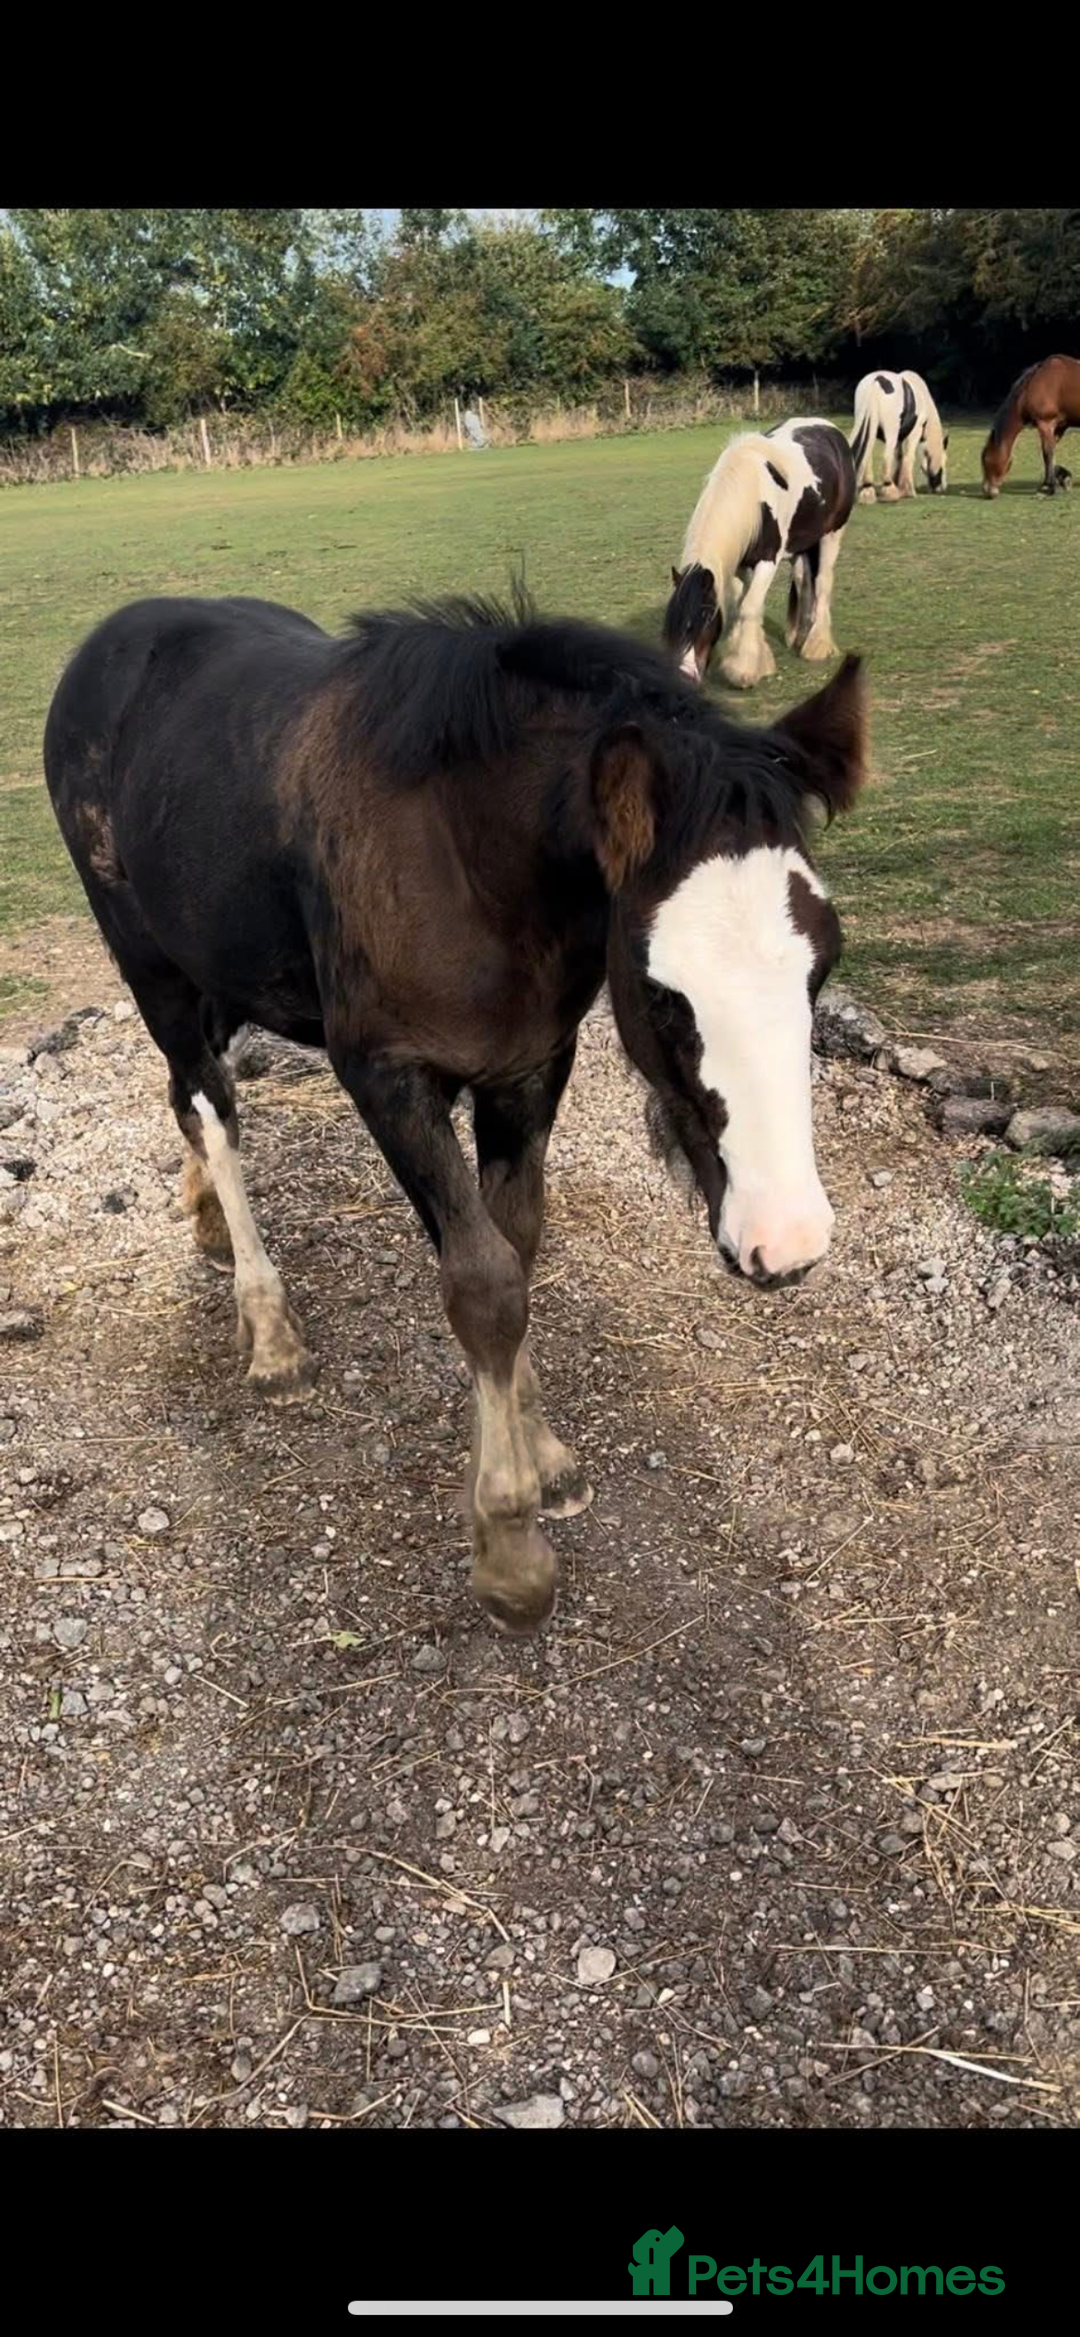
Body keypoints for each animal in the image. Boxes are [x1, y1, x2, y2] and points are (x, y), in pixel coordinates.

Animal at [44, 591, 867, 1637]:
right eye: (661, 990)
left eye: (823, 965)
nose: (788, 1240)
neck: (468, 859)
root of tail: (115, 635)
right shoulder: (386, 1074)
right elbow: (481, 1284)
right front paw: (510, 1548)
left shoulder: (529, 1065)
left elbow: (516, 1249)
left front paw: (543, 1454)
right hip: (149, 965)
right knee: (208, 1104)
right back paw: (269, 1329)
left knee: (194, 1097)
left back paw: (205, 1222)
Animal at [663, 419, 855, 692]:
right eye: (671, 622)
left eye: (705, 617)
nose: (685, 677)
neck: (750, 495)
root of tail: (831, 429)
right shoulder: (740, 564)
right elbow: (741, 604)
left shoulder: (767, 561)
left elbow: (749, 607)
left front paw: (743, 670)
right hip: (800, 542)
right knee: (803, 581)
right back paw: (800, 636)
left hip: (832, 533)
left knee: (823, 582)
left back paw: (817, 645)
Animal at [850, 370, 948, 502]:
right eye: (944, 461)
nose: (941, 487)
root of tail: (877, 382)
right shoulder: (914, 433)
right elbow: (909, 457)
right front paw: (908, 491)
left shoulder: (899, 438)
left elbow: (899, 457)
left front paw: (898, 484)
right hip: (890, 433)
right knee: (886, 457)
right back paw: (889, 491)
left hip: (870, 429)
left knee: (868, 456)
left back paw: (868, 491)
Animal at [981, 354, 1080, 497]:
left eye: (985, 459)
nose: (987, 490)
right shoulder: (1059, 427)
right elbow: (1052, 454)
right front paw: (1062, 478)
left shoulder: (1045, 424)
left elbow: (1047, 453)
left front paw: (1049, 487)